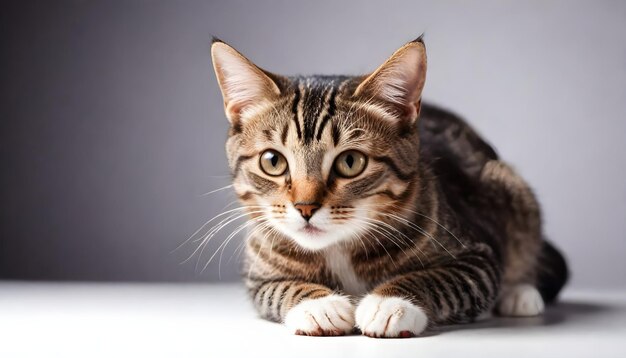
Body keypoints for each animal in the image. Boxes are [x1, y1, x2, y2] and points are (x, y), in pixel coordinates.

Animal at [208, 36, 564, 338]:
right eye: (273, 161)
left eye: (350, 162)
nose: (305, 207)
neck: (338, 247)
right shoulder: (257, 275)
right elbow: (277, 288)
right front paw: (319, 305)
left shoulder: (478, 255)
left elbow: (439, 278)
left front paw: (390, 303)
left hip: (512, 191)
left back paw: (520, 293)